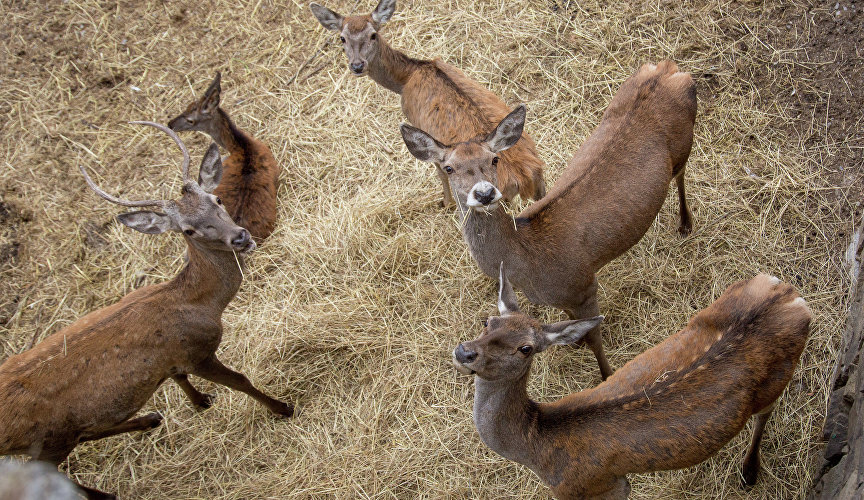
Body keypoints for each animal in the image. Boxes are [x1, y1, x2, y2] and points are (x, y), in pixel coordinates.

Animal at [0, 122, 294, 500]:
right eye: (188, 229)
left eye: (216, 200)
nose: (241, 237)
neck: (200, 303)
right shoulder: (195, 351)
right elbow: (240, 380)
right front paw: (282, 408)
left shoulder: (170, 359)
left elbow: (177, 376)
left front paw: (201, 401)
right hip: (46, 440)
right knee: (55, 469)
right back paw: (107, 493)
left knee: (87, 432)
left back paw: (151, 419)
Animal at [308, 0, 544, 207]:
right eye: (342, 38)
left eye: (372, 35)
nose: (357, 65)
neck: (406, 78)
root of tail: (524, 177)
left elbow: (439, 171)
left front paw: (446, 202)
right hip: (542, 181)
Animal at [404, 60, 696, 378]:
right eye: (449, 168)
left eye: (494, 159)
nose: (484, 193)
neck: (528, 265)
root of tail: (670, 69)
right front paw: (572, 342)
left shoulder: (583, 284)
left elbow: (594, 336)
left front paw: (607, 375)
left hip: (684, 143)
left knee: (681, 174)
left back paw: (685, 224)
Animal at [456, 264, 812, 498]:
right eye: (488, 320)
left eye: (526, 348)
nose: (464, 352)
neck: (535, 447)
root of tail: (791, 296)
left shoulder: (596, 487)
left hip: (777, 377)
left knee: (765, 412)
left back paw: (749, 471)